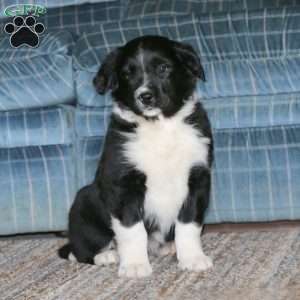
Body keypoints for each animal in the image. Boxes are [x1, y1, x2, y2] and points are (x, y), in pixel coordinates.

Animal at [59, 36, 213, 278]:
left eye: (163, 68)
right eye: (127, 74)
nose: (145, 96)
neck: (160, 127)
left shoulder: (197, 177)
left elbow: (189, 223)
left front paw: (192, 258)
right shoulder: (122, 182)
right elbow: (132, 228)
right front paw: (134, 265)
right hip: (84, 201)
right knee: (78, 250)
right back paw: (107, 255)